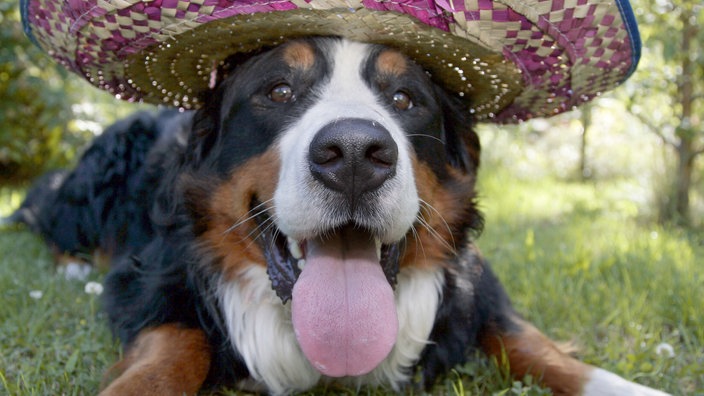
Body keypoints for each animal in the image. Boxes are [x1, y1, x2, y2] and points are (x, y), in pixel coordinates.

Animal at [13, 37, 668, 396]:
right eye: (278, 91)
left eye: (406, 98)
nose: (354, 154)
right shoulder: (156, 275)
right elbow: (173, 342)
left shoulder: (476, 290)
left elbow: (536, 345)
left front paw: (627, 386)